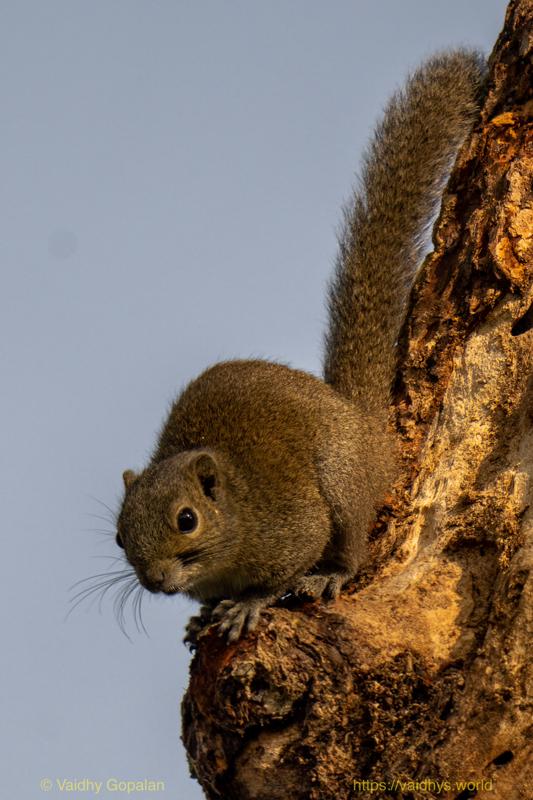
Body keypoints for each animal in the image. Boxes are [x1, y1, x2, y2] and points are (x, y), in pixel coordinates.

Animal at [115, 50, 486, 644]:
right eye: (119, 534)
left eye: (186, 520)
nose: (155, 582)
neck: (237, 509)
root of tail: (365, 426)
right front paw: (202, 615)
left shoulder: (292, 524)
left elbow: (290, 564)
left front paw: (248, 604)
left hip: (343, 482)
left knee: (351, 542)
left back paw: (332, 573)